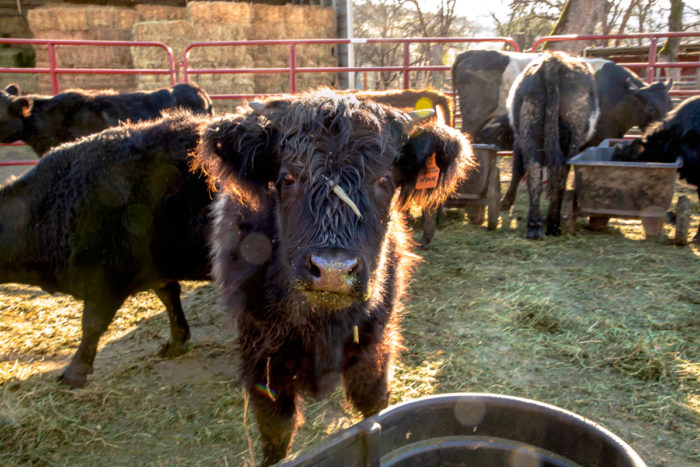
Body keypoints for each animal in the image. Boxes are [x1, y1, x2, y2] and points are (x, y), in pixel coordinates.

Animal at [0, 112, 213, 388]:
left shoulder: (106, 279)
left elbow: (92, 324)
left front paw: (74, 372)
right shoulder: (154, 269)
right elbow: (169, 297)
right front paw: (176, 341)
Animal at [191, 89, 476, 466]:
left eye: (384, 181)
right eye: (287, 178)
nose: (333, 271)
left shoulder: (375, 347)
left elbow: (375, 409)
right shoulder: (263, 359)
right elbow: (277, 431)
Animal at [506, 53, 600, 239]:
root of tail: (555, 60)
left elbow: (518, 170)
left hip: (532, 132)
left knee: (540, 173)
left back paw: (540, 225)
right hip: (565, 135)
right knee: (553, 174)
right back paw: (549, 223)